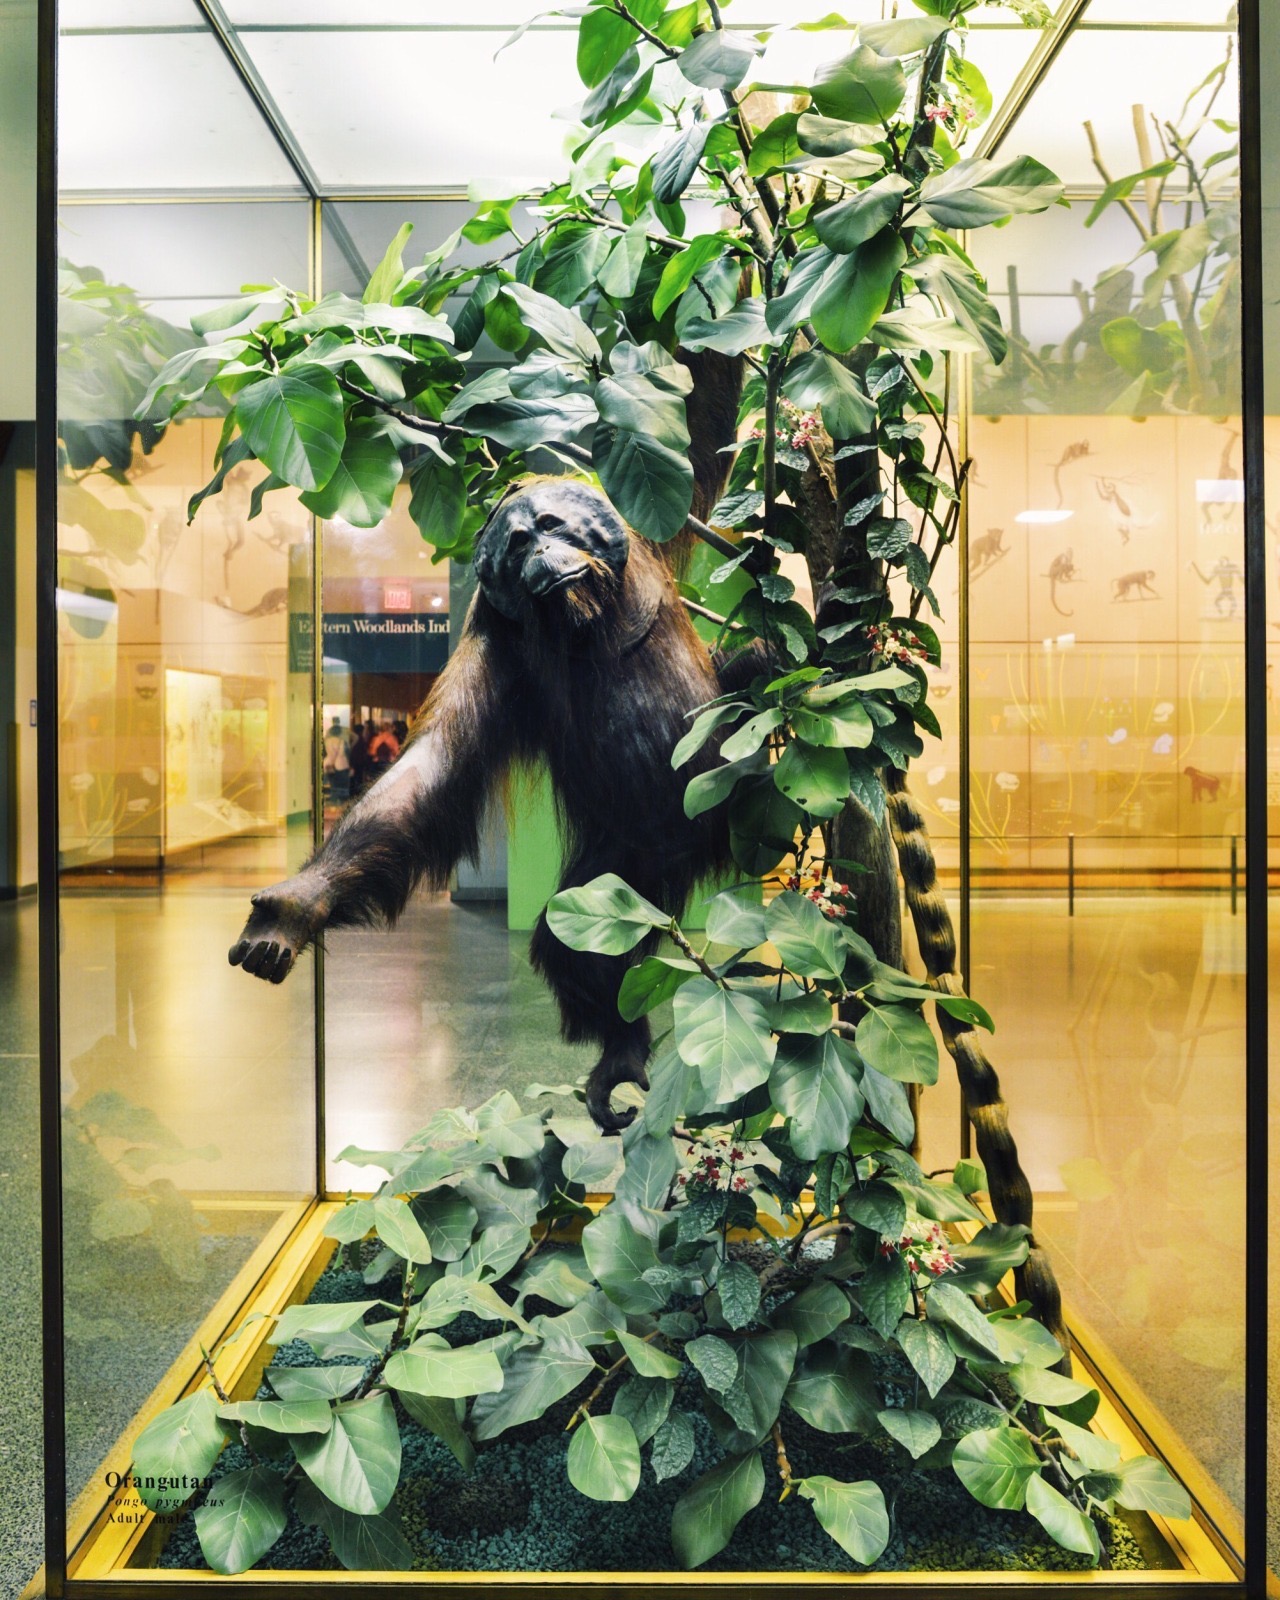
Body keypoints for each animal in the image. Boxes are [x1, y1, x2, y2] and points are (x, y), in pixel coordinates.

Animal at [226, 479, 749, 1133]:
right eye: (518, 543)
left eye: (551, 524)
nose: (540, 551)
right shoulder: (493, 641)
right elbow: (431, 766)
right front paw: (296, 905)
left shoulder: (650, 532)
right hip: (620, 874)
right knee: (569, 943)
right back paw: (621, 1054)